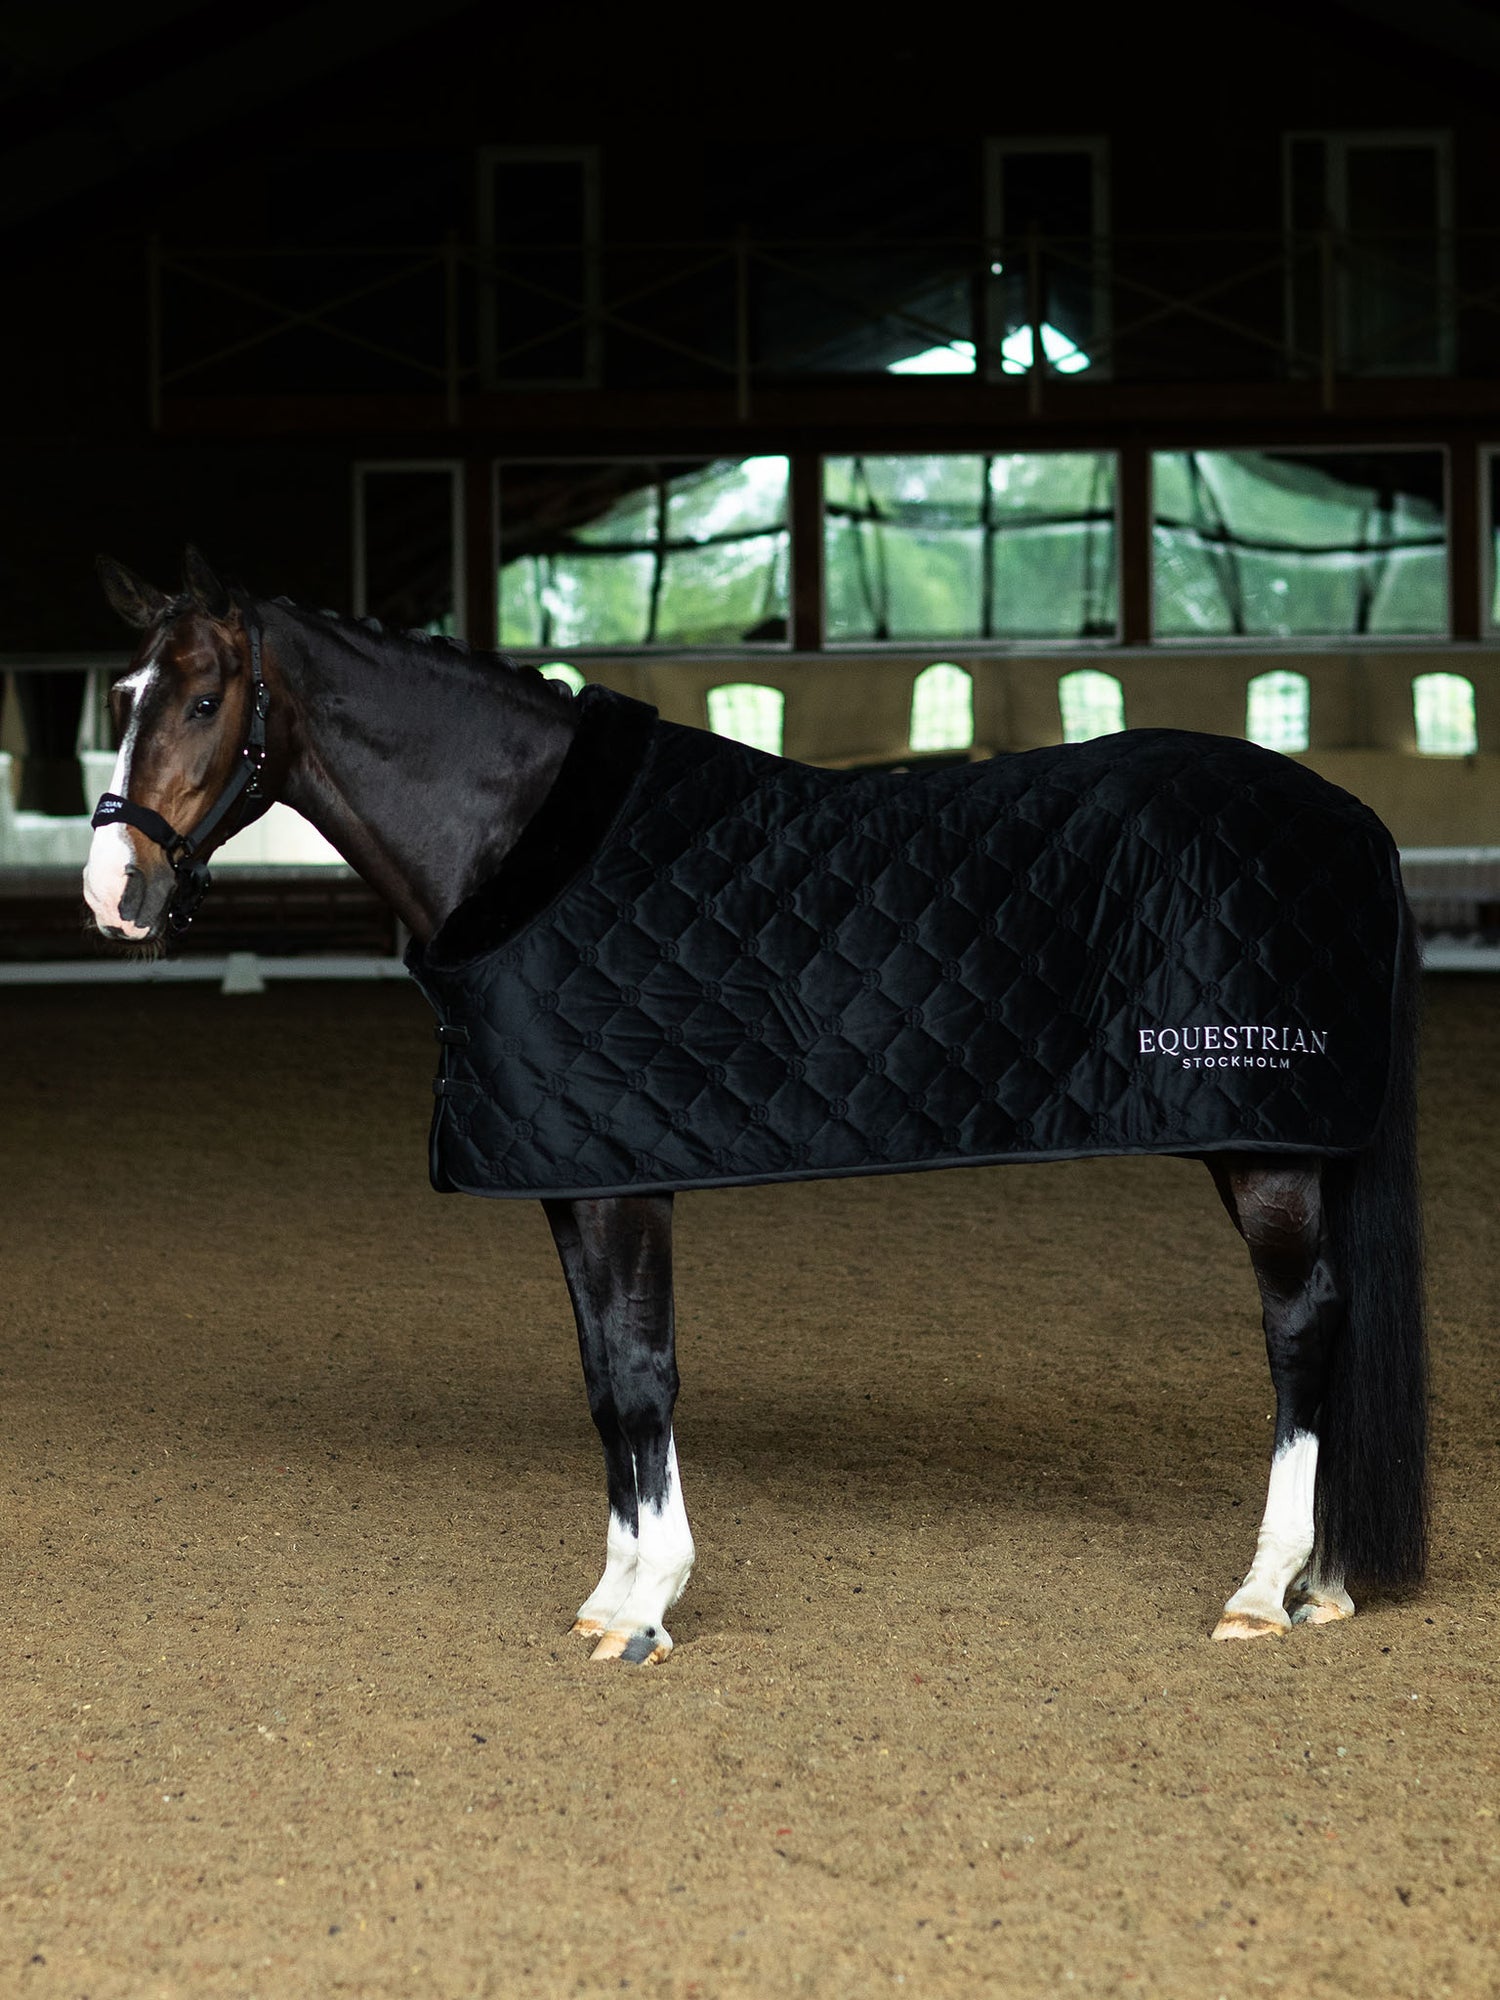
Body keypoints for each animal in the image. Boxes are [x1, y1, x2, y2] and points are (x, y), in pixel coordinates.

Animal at [82, 549, 1427, 1665]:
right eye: (122, 697)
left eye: (203, 701)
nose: (112, 892)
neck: (524, 843)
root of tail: (1354, 819)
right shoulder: (574, 1172)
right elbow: (601, 1375)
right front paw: (613, 1592)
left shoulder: (627, 1180)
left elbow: (640, 1372)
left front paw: (647, 1606)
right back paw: (1325, 1582)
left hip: (1261, 1141)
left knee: (1302, 1326)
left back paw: (1264, 1588)